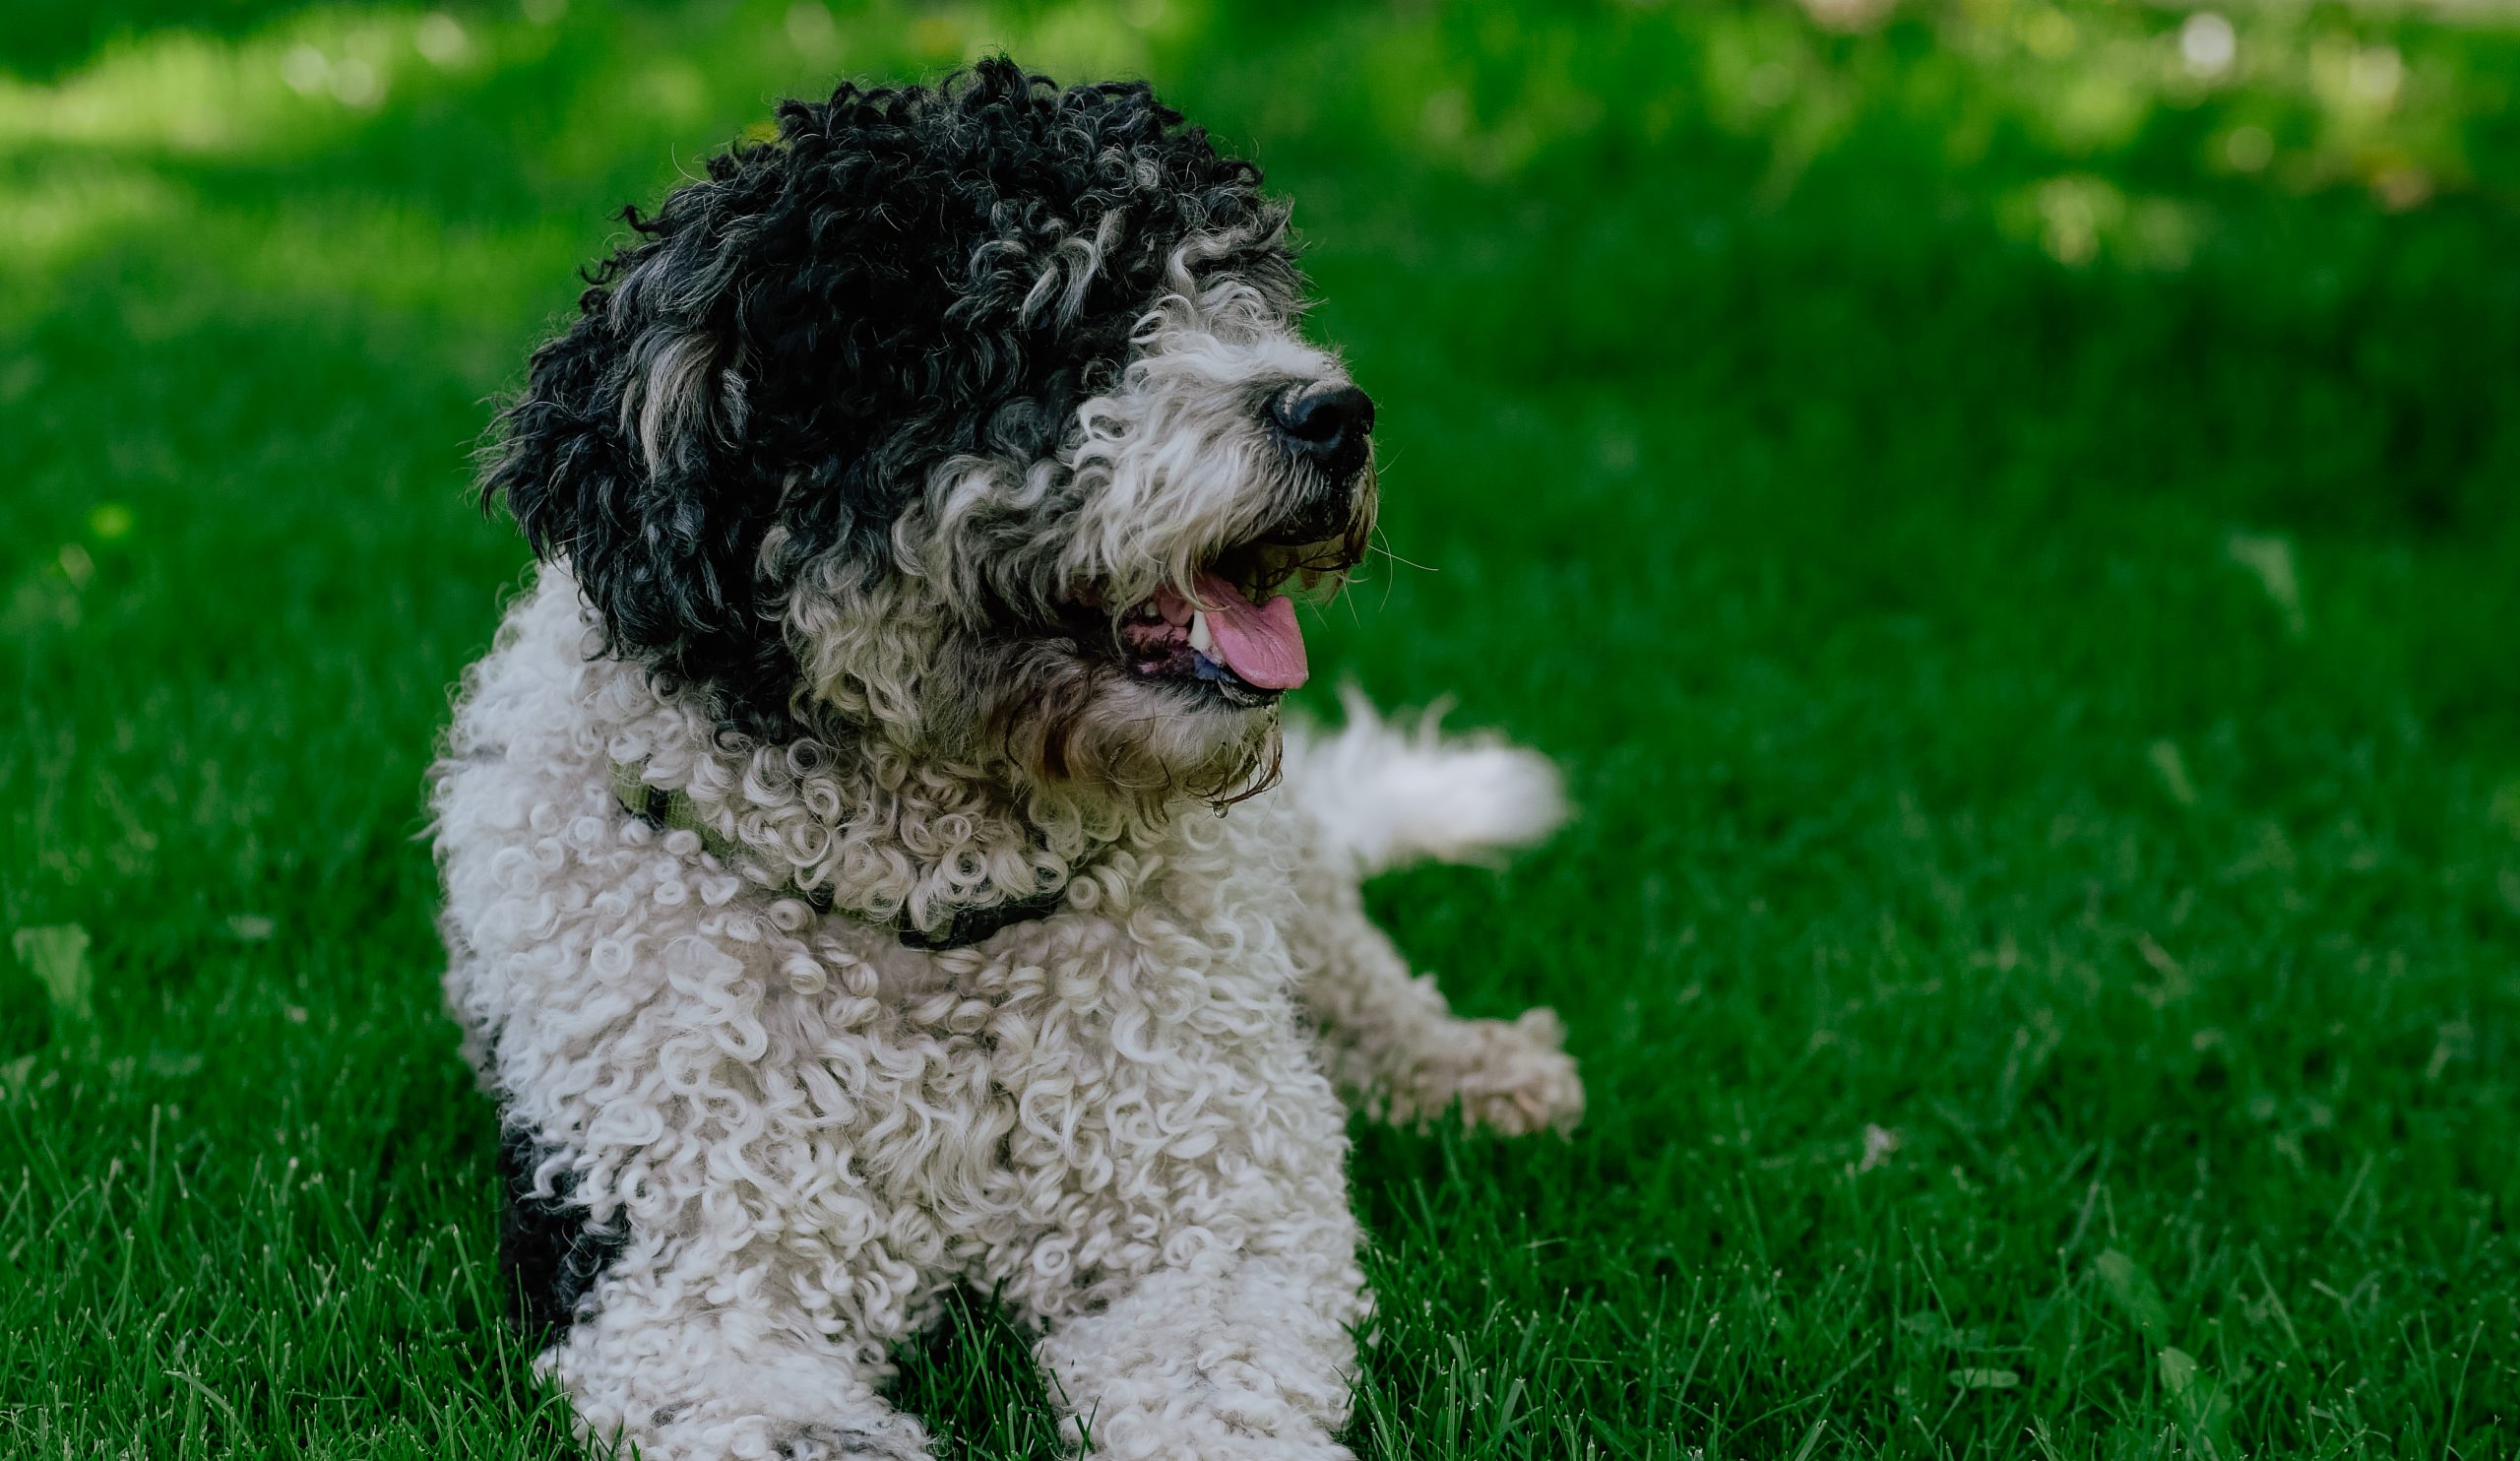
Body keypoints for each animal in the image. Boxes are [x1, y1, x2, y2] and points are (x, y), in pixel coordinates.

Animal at [433, 59, 1572, 1461]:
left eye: (1240, 290)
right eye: (1050, 326)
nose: (1334, 412)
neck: (933, 915)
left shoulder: (1216, 1224)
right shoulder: (679, 1281)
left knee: (1361, 980)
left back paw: (1475, 1072)